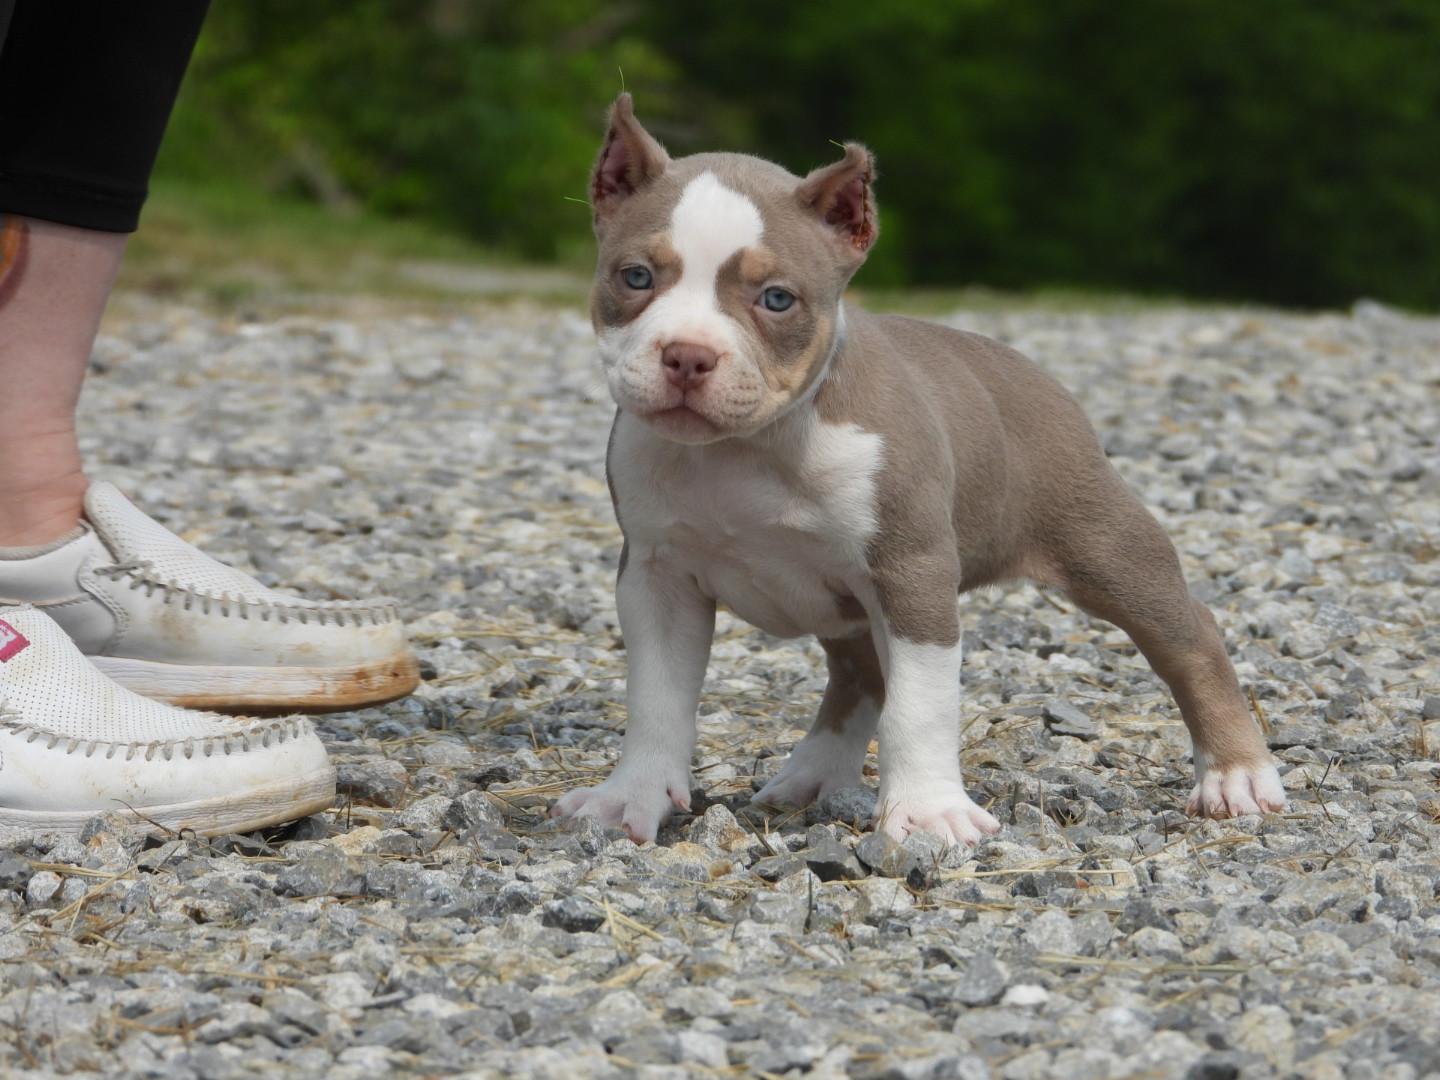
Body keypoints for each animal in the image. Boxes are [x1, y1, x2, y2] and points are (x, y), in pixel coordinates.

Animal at [552, 94, 1286, 845]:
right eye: (636, 277)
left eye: (777, 299)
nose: (687, 355)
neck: (749, 448)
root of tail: (1031, 371)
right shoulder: (657, 577)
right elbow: (656, 699)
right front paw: (629, 798)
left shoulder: (912, 573)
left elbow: (921, 703)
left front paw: (929, 813)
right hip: (847, 603)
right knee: (860, 674)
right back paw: (813, 775)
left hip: (1104, 544)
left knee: (1189, 635)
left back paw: (1236, 775)